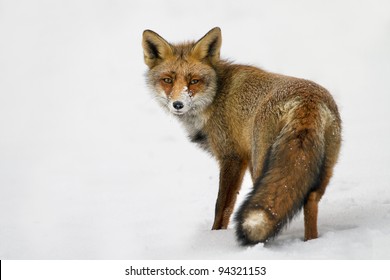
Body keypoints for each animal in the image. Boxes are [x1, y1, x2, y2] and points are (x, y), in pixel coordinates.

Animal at [142, 26, 340, 245]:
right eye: (167, 80)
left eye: (194, 81)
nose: (178, 104)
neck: (216, 96)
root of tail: (306, 102)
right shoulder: (243, 159)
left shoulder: (232, 157)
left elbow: (222, 207)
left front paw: (215, 236)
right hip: (318, 168)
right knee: (309, 199)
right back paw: (310, 242)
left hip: (261, 163)